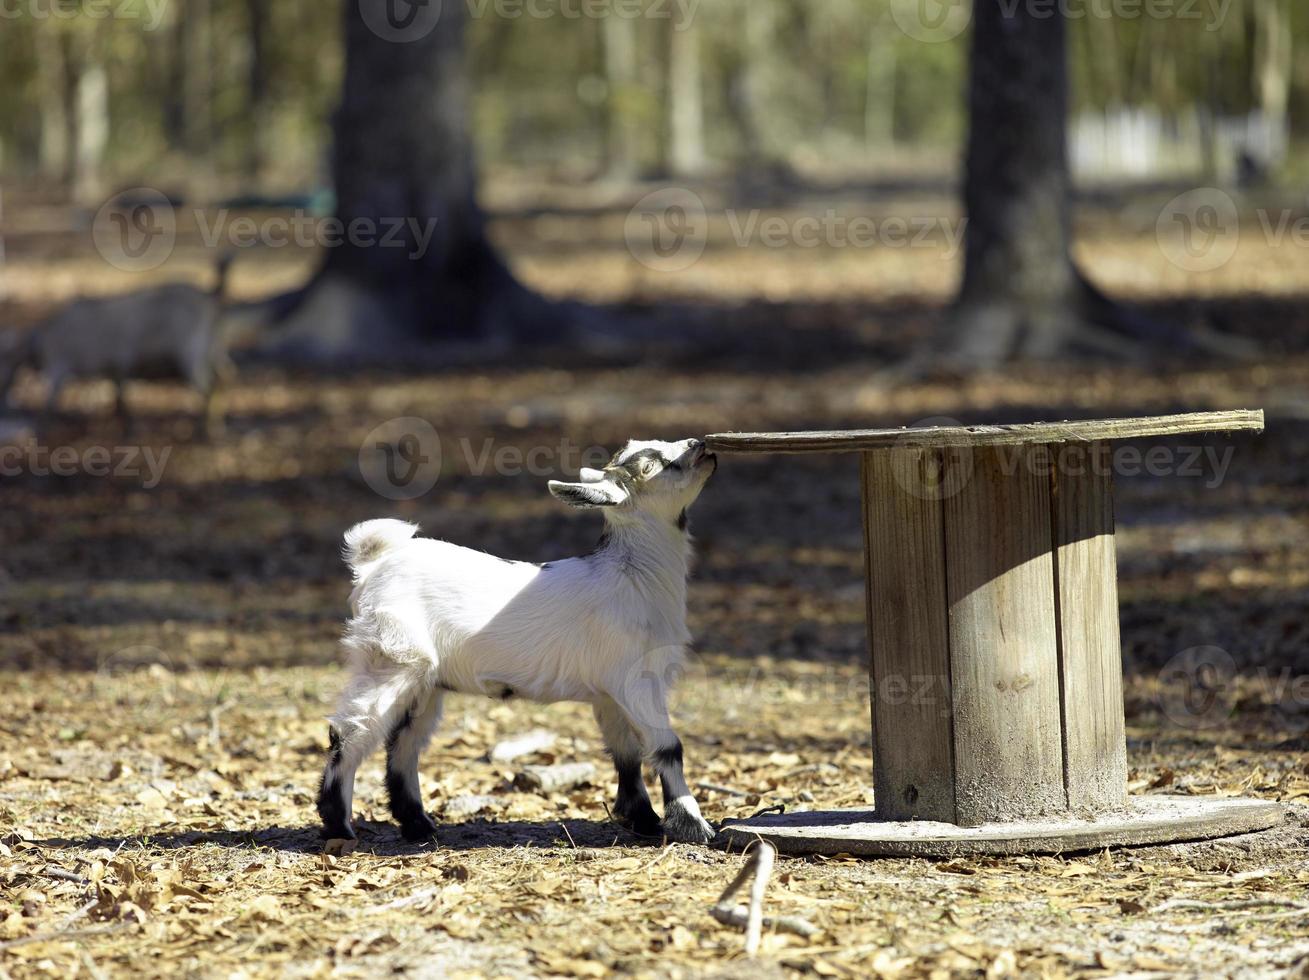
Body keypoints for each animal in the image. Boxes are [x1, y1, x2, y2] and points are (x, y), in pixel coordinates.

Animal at [320, 437, 722, 842]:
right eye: (652, 466)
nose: (699, 444)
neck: (634, 575)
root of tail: (373, 566)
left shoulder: (609, 693)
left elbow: (626, 751)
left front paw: (644, 819)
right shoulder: (636, 678)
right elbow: (668, 746)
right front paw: (694, 827)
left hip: (424, 681)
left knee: (404, 743)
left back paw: (418, 825)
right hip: (392, 658)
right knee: (351, 731)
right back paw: (339, 825)